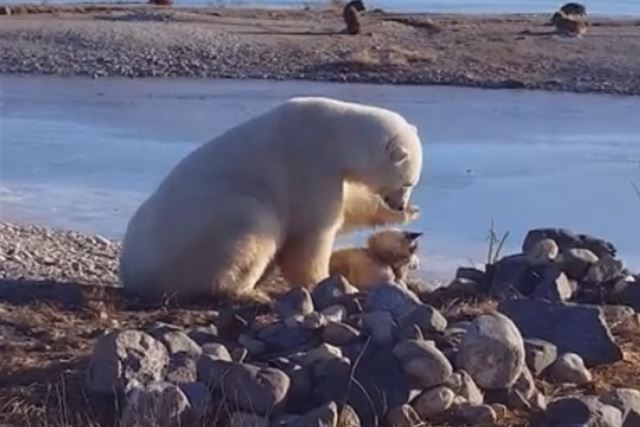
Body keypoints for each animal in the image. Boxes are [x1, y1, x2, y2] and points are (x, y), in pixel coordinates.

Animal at [120, 97, 422, 304]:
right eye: (407, 182)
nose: (399, 203)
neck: (334, 132)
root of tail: (133, 275)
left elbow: (349, 206)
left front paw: (407, 213)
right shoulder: (310, 163)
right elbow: (313, 230)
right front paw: (323, 281)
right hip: (202, 228)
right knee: (253, 224)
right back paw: (248, 292)